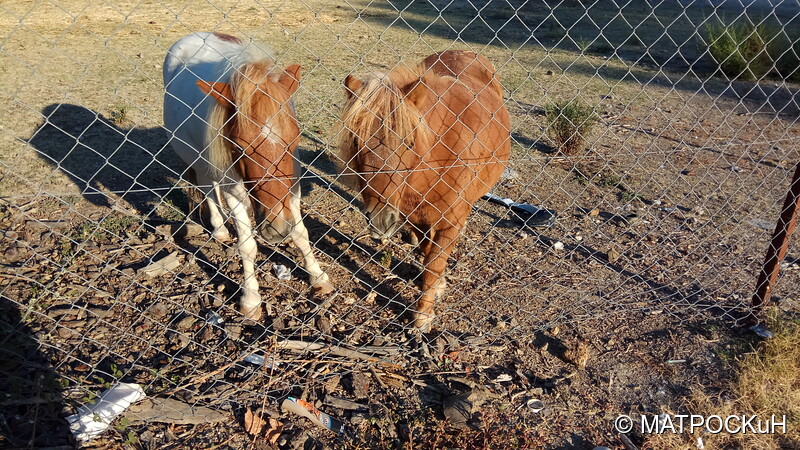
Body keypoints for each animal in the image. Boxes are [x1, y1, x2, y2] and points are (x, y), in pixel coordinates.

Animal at [164, 31, 332, 320]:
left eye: (294, 140)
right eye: (241, 147)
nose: (276, 230)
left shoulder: (293, 188)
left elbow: (300, 233)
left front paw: (318, 277)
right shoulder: (235, 190)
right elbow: (248, 247)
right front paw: (251, 299)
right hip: (198, 159)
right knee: (208, 188)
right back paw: (220, 229)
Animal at [334, 51, 510, 330]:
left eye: (409, 143)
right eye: (356, 141)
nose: (381, 220)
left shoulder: (450, 223)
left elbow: (434, 263)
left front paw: (423, 315)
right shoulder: (413, 216)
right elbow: (428, 253)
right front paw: (436, 286)